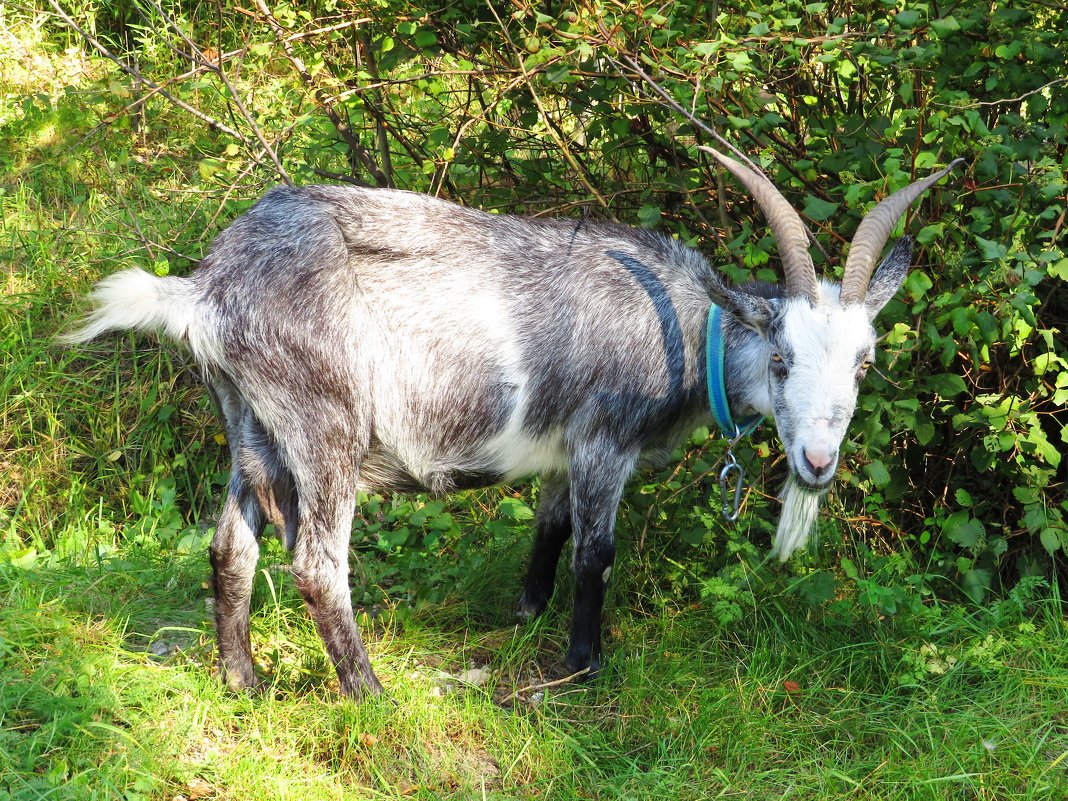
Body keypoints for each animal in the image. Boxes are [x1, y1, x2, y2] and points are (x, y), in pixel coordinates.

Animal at [68, 149, 969, 696]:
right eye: (782, 358)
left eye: (864, 361)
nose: (817, 460)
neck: (685, 323)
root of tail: (206, 289)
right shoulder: (604, 440)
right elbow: (596, 551)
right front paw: (584, 661)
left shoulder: (563, 449)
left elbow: (549, 528)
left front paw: (525, 615)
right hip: (323, 421)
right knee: (318, 564)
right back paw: (370, 693)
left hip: (250, 420)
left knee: (230, 545)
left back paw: (244, 682)